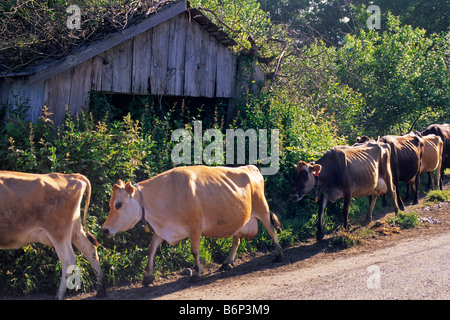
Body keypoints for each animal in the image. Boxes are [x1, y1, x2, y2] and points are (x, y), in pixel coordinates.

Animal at [103, 165, 284, 284]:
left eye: (118, 204)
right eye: (110, 204)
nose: (104, 229)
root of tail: (250, 167)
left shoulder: (195, 227)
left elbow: (195, 251)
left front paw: (197, 273)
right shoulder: (162, 229)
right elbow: (151, 249)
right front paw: (148, 276)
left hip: (262, 208)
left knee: (271, 230)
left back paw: (279, 254)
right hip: (239, 218)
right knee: (236, 240)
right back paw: (226, 262)